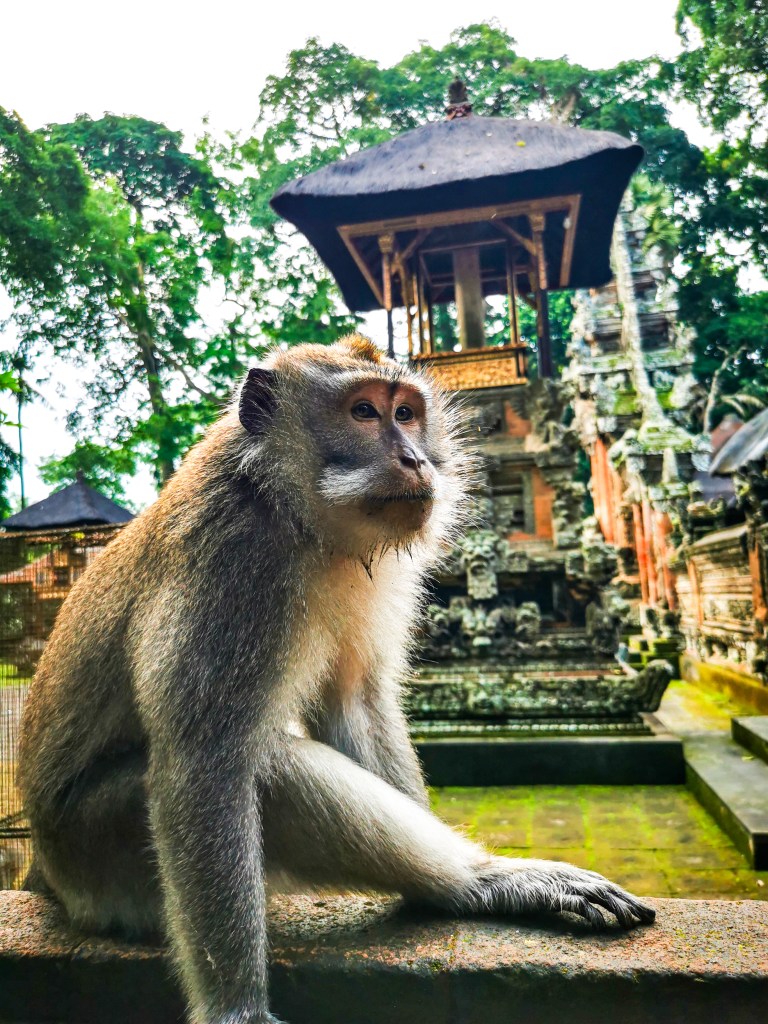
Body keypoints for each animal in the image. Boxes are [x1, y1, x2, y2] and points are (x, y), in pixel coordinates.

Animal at [18, 336, 654, 1024]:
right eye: (363, 412)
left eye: (406, 413)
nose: (413, 458)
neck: (291, 512)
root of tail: (47, 874)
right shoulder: (227, 564)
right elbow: (203, 760)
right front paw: (238, 1010)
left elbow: (354, 701)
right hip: (99, 849)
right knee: (274, 770)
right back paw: (471, 881)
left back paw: (473, 884)